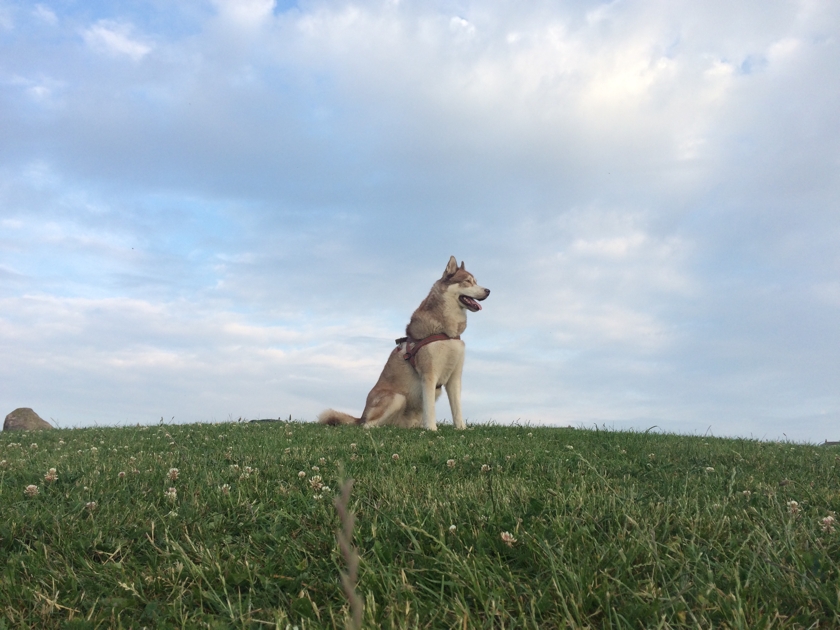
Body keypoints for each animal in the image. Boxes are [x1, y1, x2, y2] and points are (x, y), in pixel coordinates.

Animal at [322, 258, 492, 434]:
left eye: (476, 281)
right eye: (468, 281)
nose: (488, 291)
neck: (447, 334)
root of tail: (361, 416)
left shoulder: (455, 377)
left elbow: (457, 408)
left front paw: (462, 429)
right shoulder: (429, 375)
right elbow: (430, 408)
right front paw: (432, 429)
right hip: (397, 398)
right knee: (368, 425)